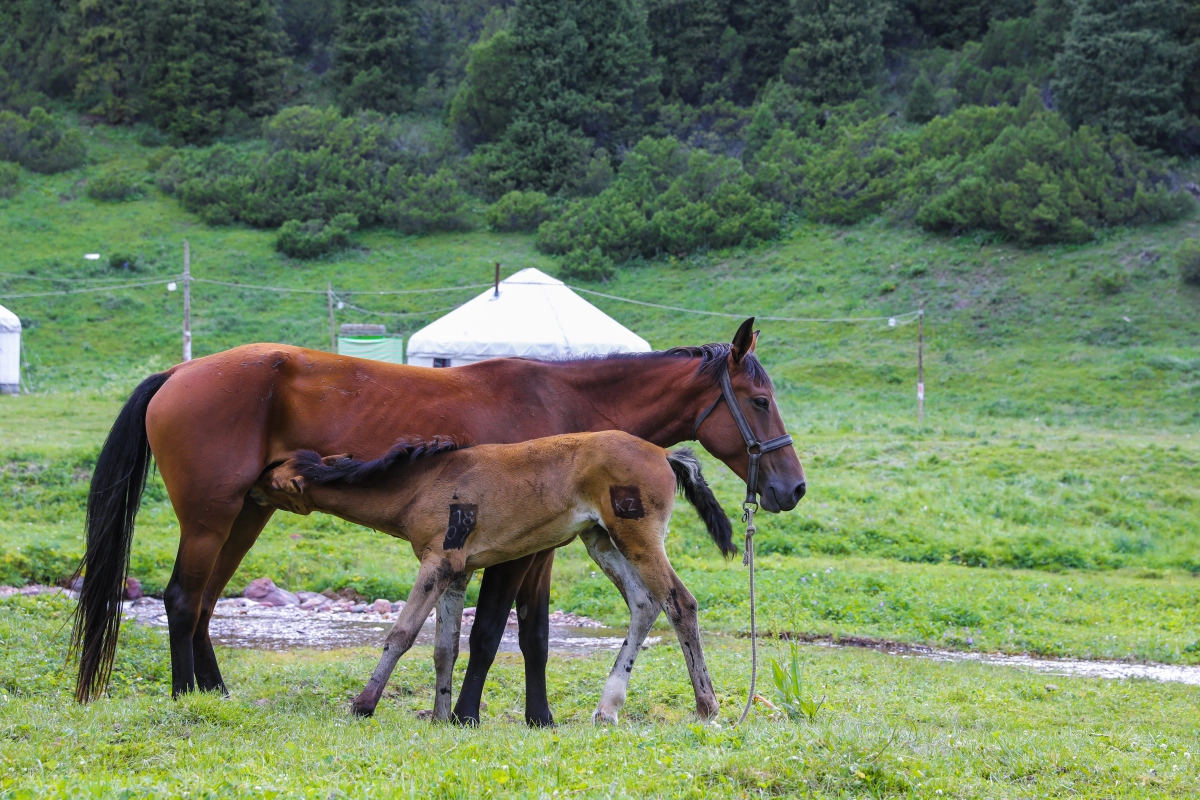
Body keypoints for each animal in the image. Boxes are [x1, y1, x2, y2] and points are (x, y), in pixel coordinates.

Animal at [255, 434, 729, 724]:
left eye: (274, 476)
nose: (250, 484)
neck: (421, 485)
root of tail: (663, 453)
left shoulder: (438, 562)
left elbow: (402, 634)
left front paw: (363, 704)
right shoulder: (457, 572)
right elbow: (444, 649)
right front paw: (441, 717)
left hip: (636, 537)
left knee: (679, 602)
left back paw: (706, 707)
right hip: (602, 541)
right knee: (645, 604)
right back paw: (608, 707)